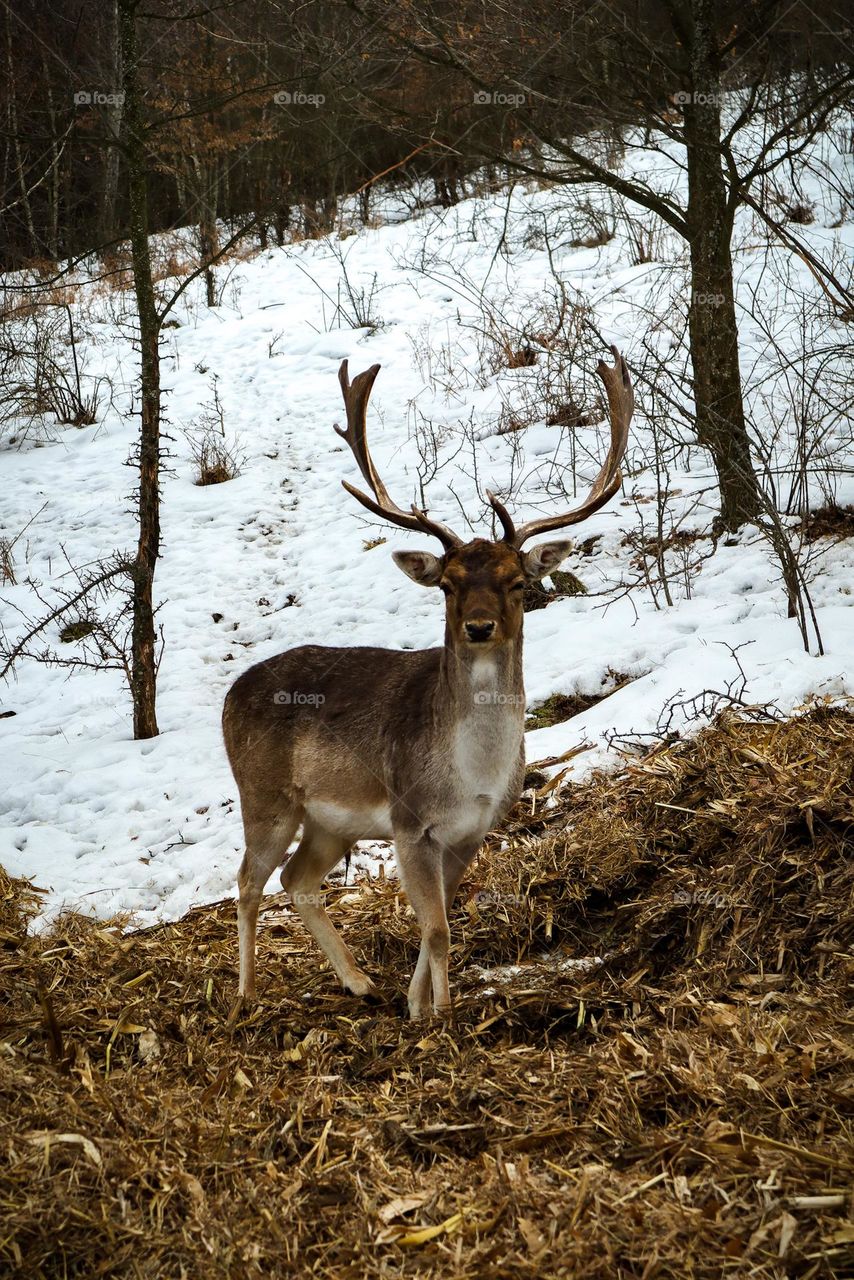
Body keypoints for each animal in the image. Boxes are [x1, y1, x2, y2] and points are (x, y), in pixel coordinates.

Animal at [222, 347, 633, 1018]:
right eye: (447, 583)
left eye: (517, 580)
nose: (479, 625)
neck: (471, 774)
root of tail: (230, 695)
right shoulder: (411, 819)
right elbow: (436, 929)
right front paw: (442, 1016)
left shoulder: (473, 831)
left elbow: (437, 924)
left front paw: (417, 1006)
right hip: (264, 795)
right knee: (248, 881)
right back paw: (246, 995)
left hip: (331, 821)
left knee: (297, 879)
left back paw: (360, 983)